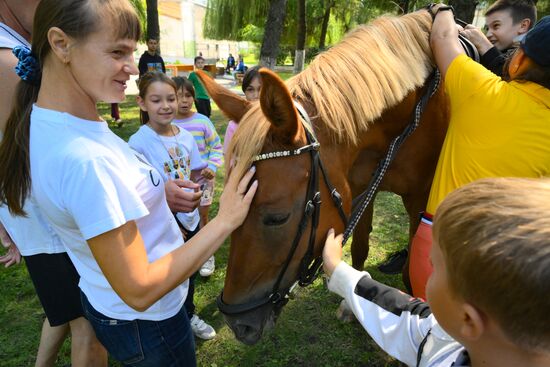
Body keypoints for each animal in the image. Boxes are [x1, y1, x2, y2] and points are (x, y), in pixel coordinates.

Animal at [197, 8, 448, 344]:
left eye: (277, 218)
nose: (239, 325)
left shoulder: (421, 201)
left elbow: (413, 272)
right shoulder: (361, 187)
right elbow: (359, 248)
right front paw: (352, 304)